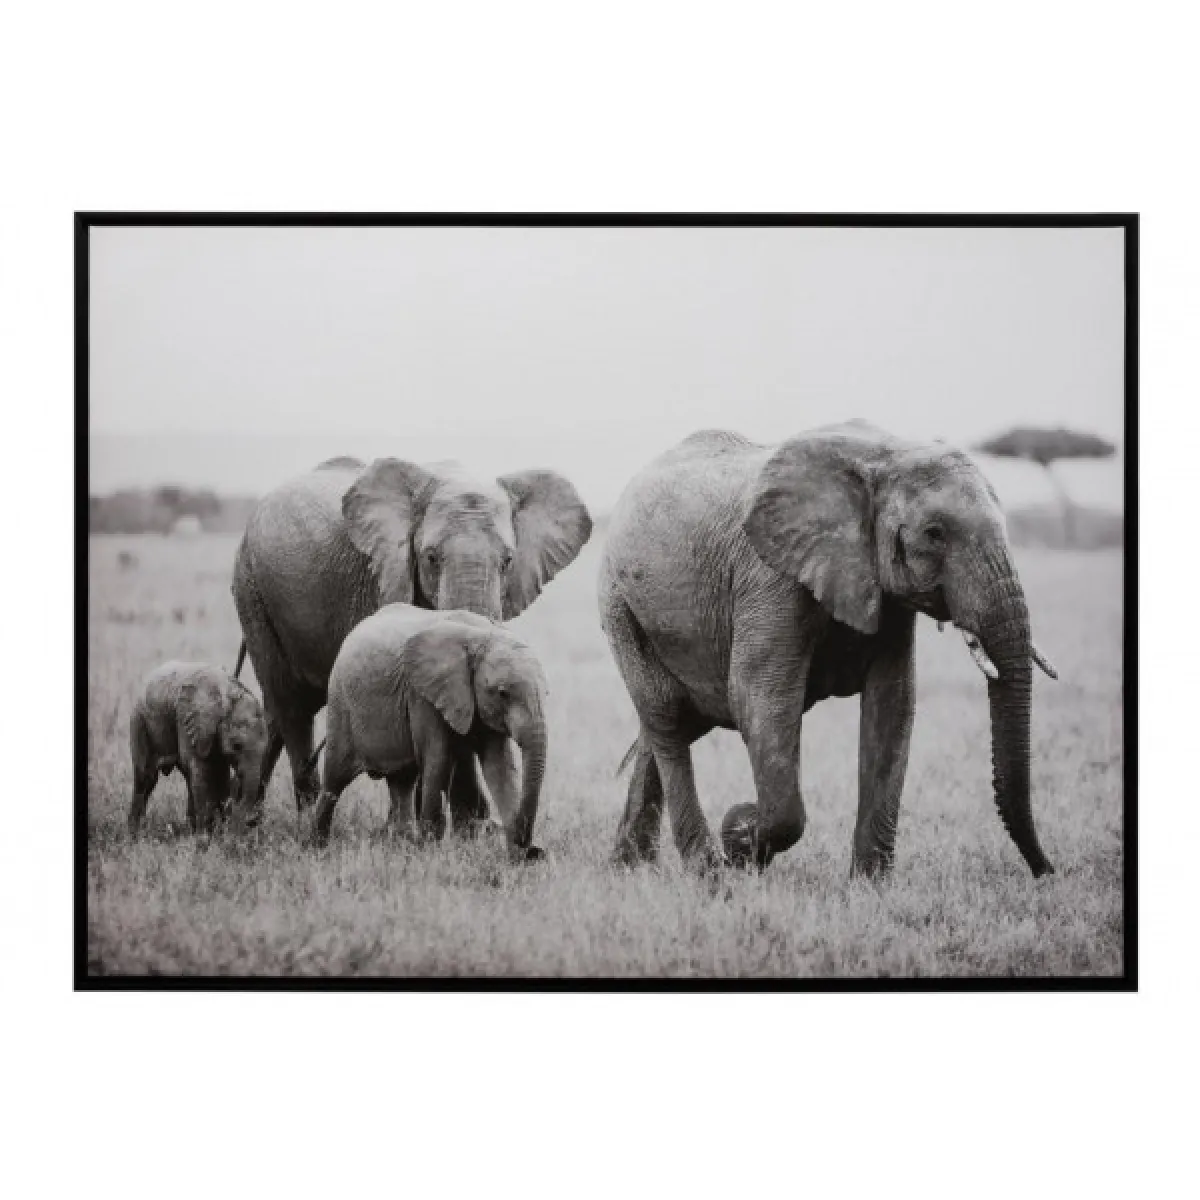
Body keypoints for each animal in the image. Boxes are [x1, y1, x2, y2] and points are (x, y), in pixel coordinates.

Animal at [128, 662, 270, 835]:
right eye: (237, 746)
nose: (251, 820)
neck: (228, 693)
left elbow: (220, 775)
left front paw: (217, 833)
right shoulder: (186, 719)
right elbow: (201, 771)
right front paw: (205, 836)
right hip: (139, 722)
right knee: (146, 778)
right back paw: (134, 835)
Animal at [232, 455, 590, 825]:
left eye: (507, 561)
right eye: (431, 558)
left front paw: (473, 825)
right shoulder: (382, 576)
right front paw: (467, 825)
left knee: (276, 711)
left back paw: (244, 815)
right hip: (253, 592)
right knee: (291, 706)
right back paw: (297, 815)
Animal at [310, 605, 549, 861]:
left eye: (547, 693)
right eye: (503, 693)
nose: (534, 850)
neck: (480, 635)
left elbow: (500, 766)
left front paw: (517, 859)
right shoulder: (423, 695)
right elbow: (438, 758)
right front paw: (431, 853)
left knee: (402, 782)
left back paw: (403, 848)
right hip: (340, 704)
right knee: (334, 782)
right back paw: (317, 847)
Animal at [598, 421, 1058, 878]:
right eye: (934, 533)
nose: (1046, 871)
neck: (885, 453)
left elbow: (892, 704)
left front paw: (869, 886)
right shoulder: (769, 576)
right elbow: (760, 697)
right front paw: (740, 836)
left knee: (673, 722)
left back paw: (630, 866)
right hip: (620, 604)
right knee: (668, 718)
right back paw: (706, 871)